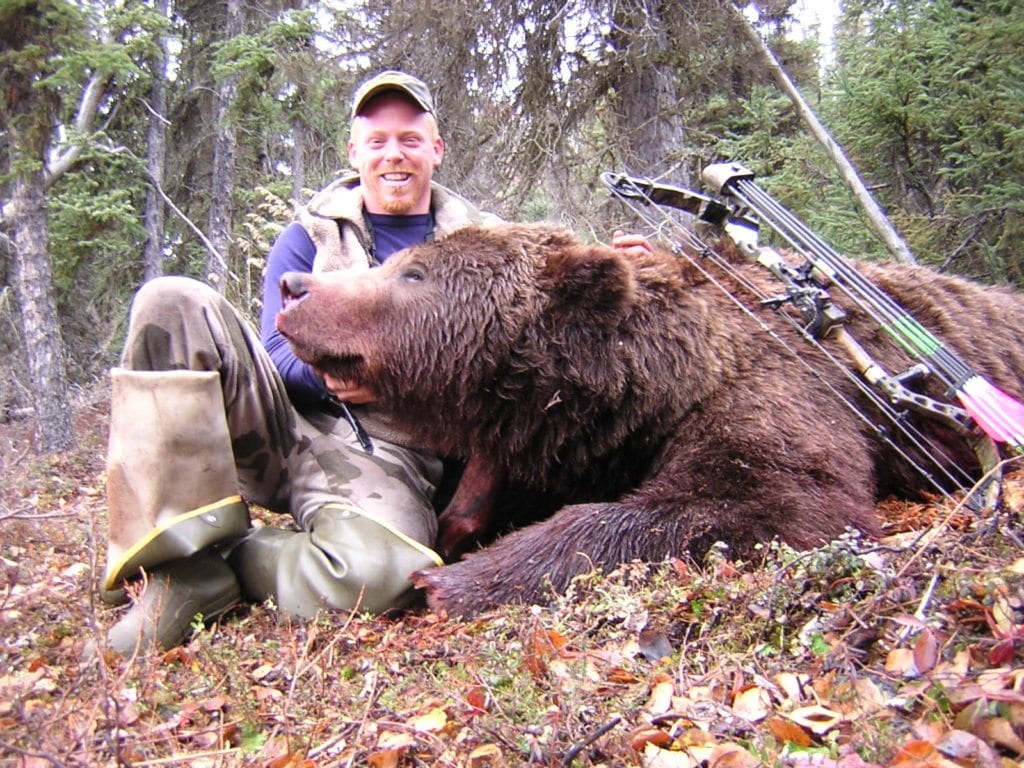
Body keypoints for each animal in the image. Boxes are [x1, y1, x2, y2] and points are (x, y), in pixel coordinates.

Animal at [275, 223, 1024, 617]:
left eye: (414, 273)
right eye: (400, 261)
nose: (293, 286)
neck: (655, 377)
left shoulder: (766, 387)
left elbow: (770, 498)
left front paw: (458, 577)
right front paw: (462, 533)